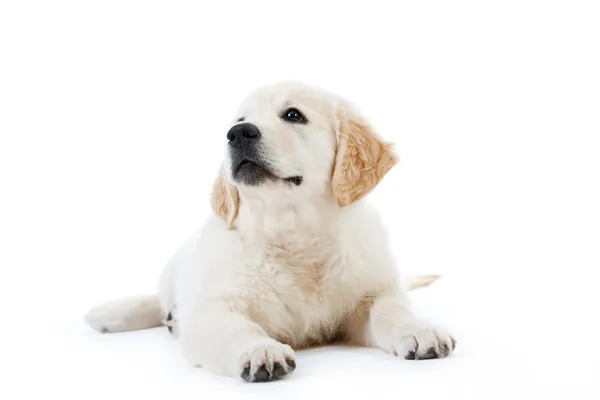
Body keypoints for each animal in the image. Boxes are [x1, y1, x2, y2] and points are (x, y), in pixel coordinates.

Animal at [85, 80, 454, 382]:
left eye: (293, 115)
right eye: (238, 121)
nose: (237, 133)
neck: (293, 229)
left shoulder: (372, 294)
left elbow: (391, 310)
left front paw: (419, 330)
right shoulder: (212, 310)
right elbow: (236, 327)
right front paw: (259, 350)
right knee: (159, 300)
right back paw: (112, 312)